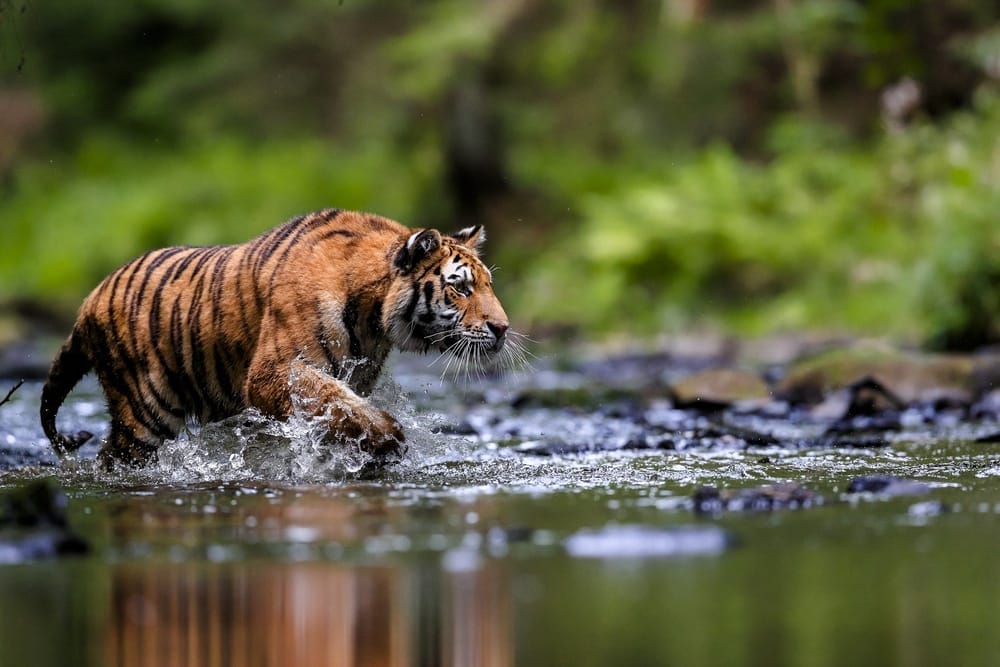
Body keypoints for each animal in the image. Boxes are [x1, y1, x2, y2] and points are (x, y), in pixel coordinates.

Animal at [40, 208, 514, 469]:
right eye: (461, 288)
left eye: (489, 285)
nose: (503, 328)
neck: (373, 316)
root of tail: (88, 301)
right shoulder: (275, 370)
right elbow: (336, 402)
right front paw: (388, 437)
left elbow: (339, 409)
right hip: (144, 414)